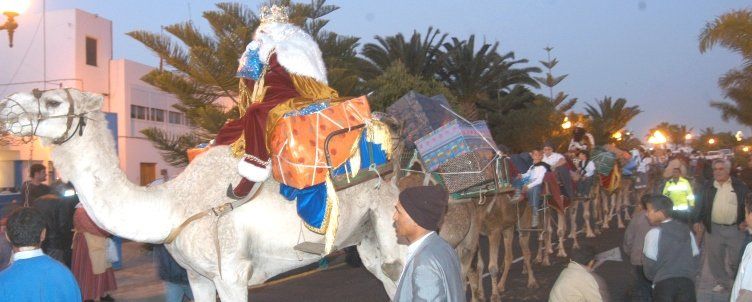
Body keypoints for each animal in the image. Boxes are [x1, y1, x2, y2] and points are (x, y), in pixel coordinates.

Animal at [0, 86, 406, 300]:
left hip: (387, 214)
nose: (6, 106)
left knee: (398, 265)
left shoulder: (233, 273)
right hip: (364, 235)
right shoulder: (197, 276)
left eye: (53, 101)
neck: (173, 207)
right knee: (386, 273)